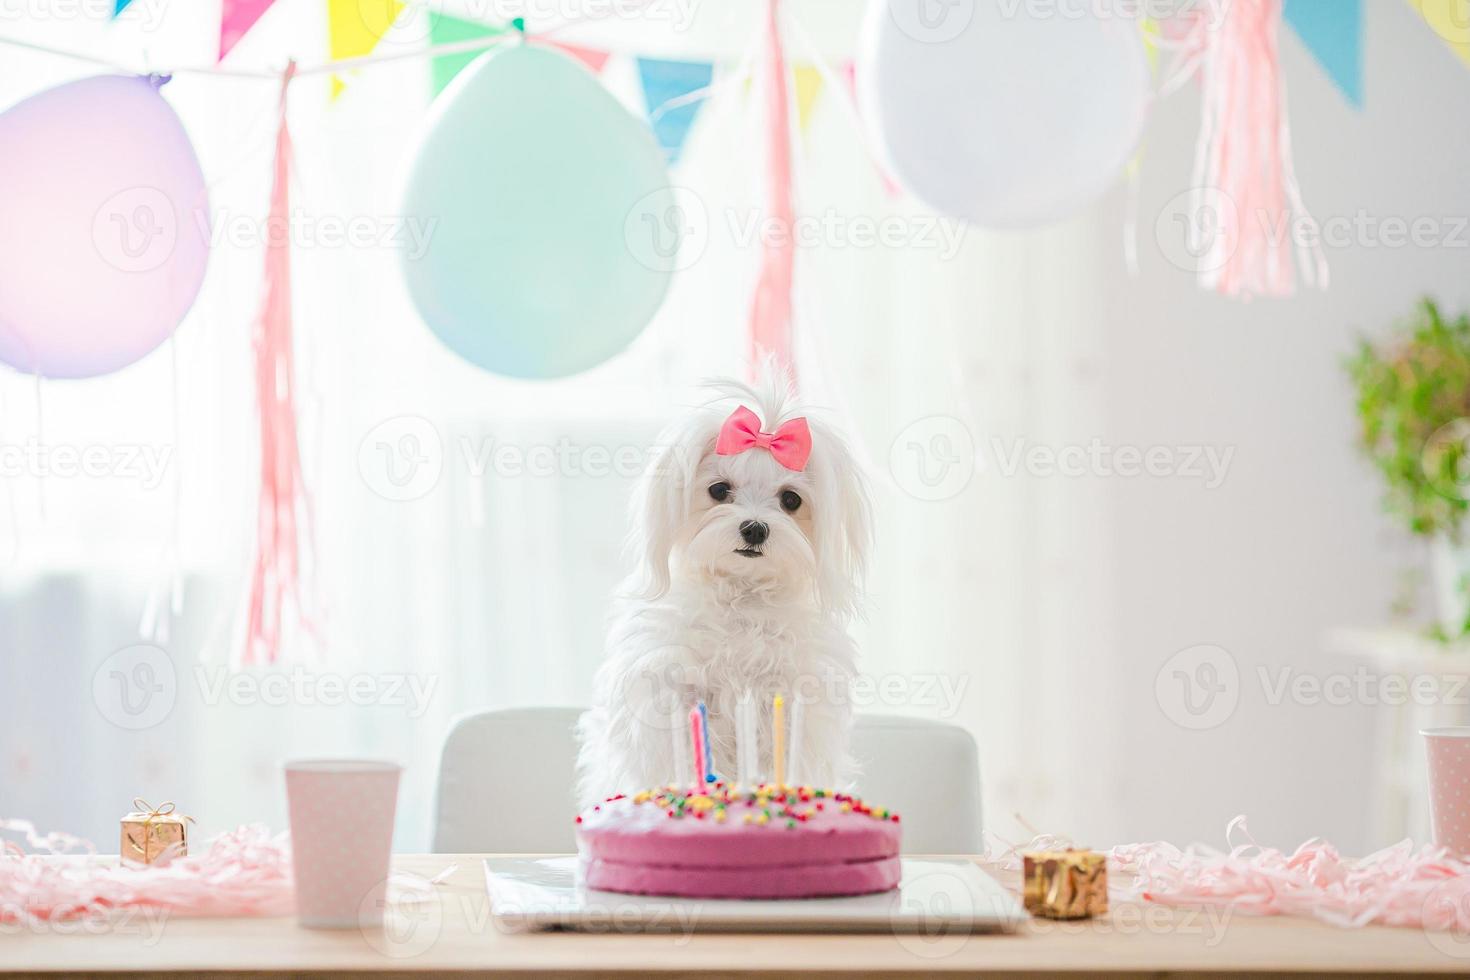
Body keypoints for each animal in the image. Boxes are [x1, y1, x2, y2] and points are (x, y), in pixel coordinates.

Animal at [573, 370, 870, 805]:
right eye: (718, 490)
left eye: (791, 499)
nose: (755, 528)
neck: (740, 597)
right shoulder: (670, 694)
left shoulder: (793, 705)